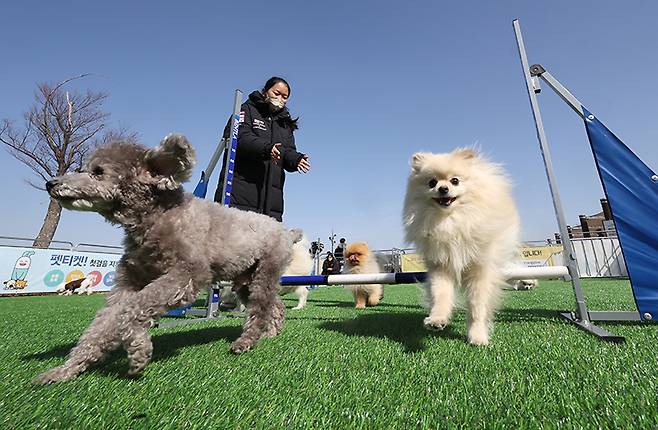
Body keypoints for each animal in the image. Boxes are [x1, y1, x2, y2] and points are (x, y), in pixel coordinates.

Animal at [400, 149, 516, 346]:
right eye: (432, 182)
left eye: (455, 180)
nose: (443, 188)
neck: (451, 221)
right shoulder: (441, 266)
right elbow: (441, 295)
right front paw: (437, 319)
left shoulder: (479, 269)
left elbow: (478, 306)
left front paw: (477, 335)